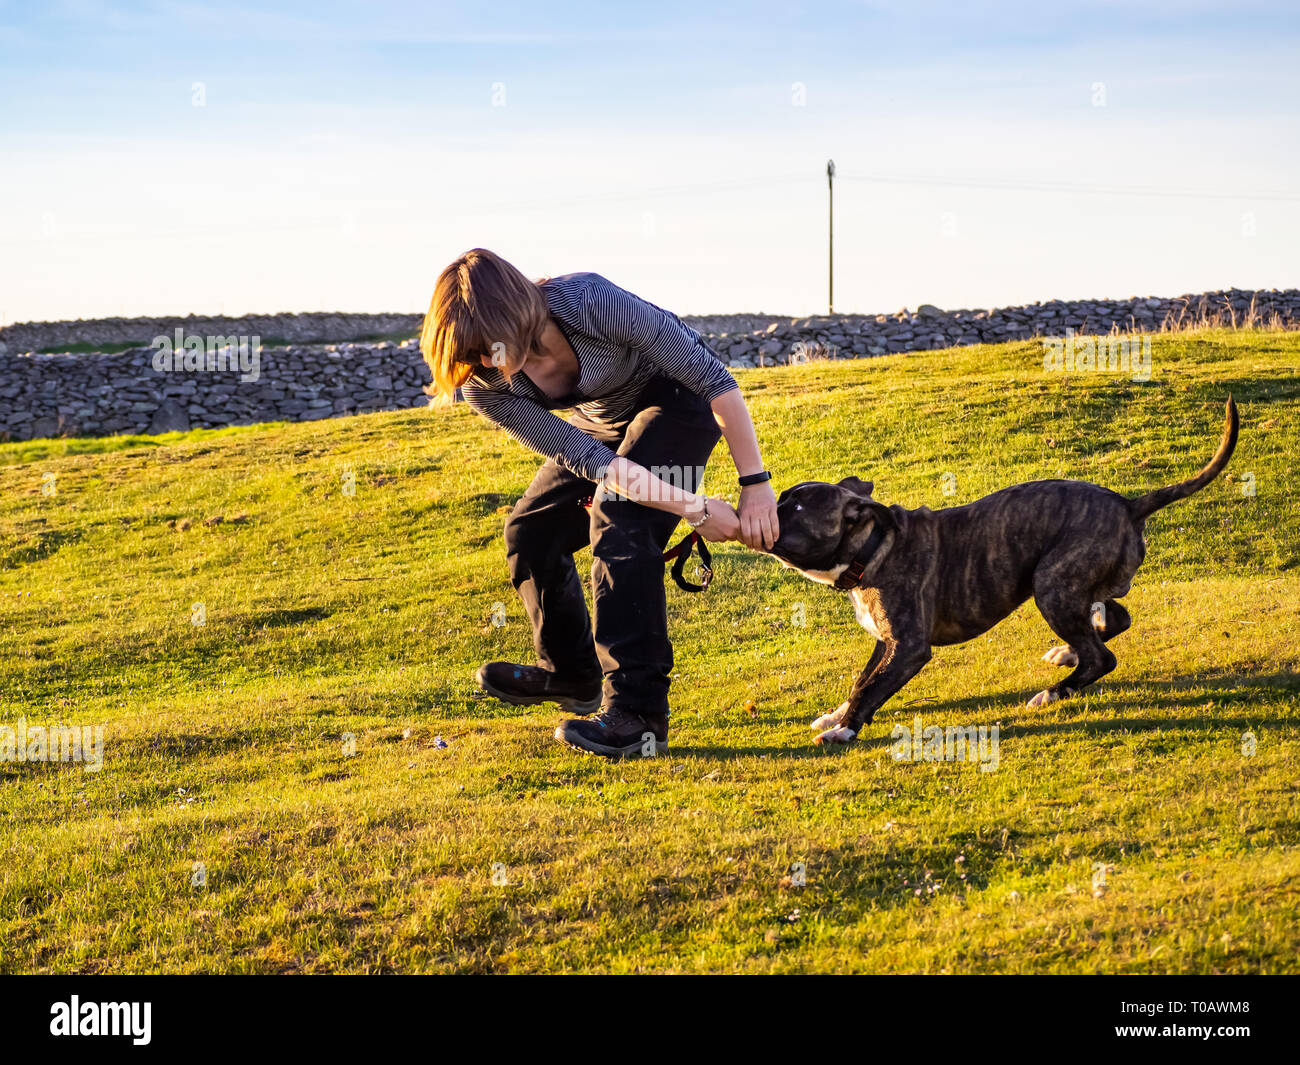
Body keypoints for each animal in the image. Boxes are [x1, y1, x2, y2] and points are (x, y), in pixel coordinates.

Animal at [764, 395, 1242, 743]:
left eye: (797, 507)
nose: (769, 507)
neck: (873, 546)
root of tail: (1129, 504)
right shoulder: (886, 641)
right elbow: (861, 681)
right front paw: (837, 715)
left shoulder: (909, 647)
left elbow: (871, 687)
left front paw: (845, 729)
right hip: (1077, 585)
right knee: (1114, 618)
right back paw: (1069, 652)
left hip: (1052, 584)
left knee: (1101, 657)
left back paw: (1054, 692)